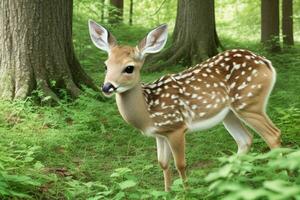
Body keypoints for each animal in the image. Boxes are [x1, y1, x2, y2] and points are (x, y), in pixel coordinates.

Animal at [88, 21, 282, 191]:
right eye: (106, 66)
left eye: (129, 68)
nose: (107, 87)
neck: (148, 109)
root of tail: (268, 64)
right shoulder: (160, 134)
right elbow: (163, 163)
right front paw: (167, 192)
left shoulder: (177, 127)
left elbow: (180, 164)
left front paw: (186, 192)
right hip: (230, 114)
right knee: (245, 139)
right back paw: (228, 182)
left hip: (249, 102)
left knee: (273, 134)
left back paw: (279, 179)